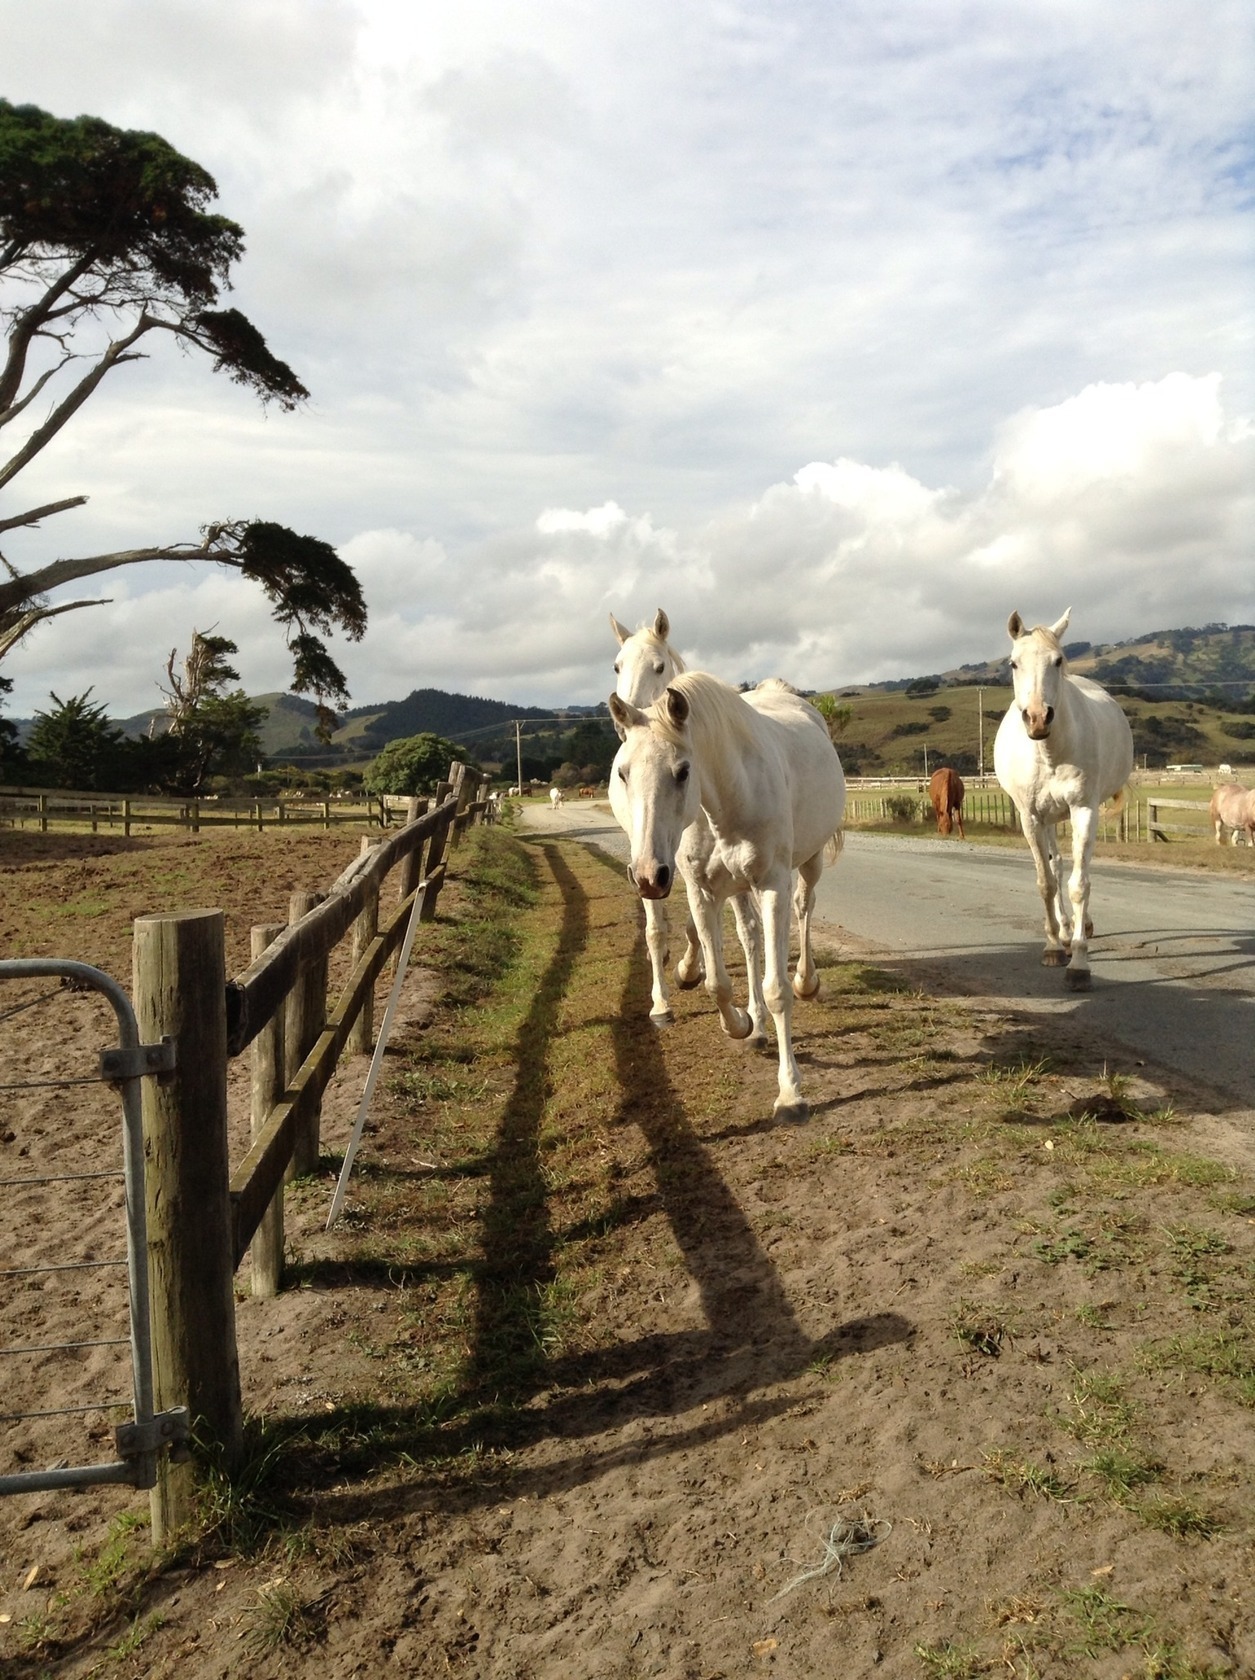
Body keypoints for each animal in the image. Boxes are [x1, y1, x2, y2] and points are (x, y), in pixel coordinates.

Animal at [608, 665, 843, 1115]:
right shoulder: (702, 892)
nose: (648, 875)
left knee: (804, 907)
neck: (733, 794)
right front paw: (741, 1024)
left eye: (683, 771)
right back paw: (756, 1027)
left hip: (810, 860)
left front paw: (790, 1092)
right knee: (750, 938)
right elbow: (717, 982)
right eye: (623, 773)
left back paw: (807, 981)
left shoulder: (772, 884)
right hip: (736, 887)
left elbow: (777, 989)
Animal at [994, 611, 1135, 987]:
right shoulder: (1030, 817)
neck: (1049, 752)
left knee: (1071, 870)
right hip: (1047, 820)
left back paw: (1079, 927)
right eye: (1013, 663)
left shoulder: (1083, 809)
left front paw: (1080, 963)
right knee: (1056, 866)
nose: (1038, 717)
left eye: (1058, 661)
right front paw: (1054, 947)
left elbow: (1079, 884)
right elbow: (1045, 882)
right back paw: (1065, 930)